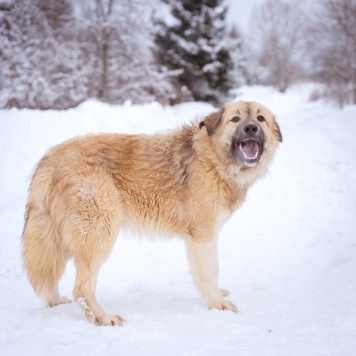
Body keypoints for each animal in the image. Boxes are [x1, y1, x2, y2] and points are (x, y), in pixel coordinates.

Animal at [23, 101, 282, 326]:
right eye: (235, 119)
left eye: (260, 119)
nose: (251, 128)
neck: (212, 160)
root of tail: (51, 157)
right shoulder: (202, 237)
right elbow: (210, 273)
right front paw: (218, 304)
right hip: (99, 235)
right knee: (81, 290)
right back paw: (103, 318)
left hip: (63, 238)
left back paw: (57, 303)